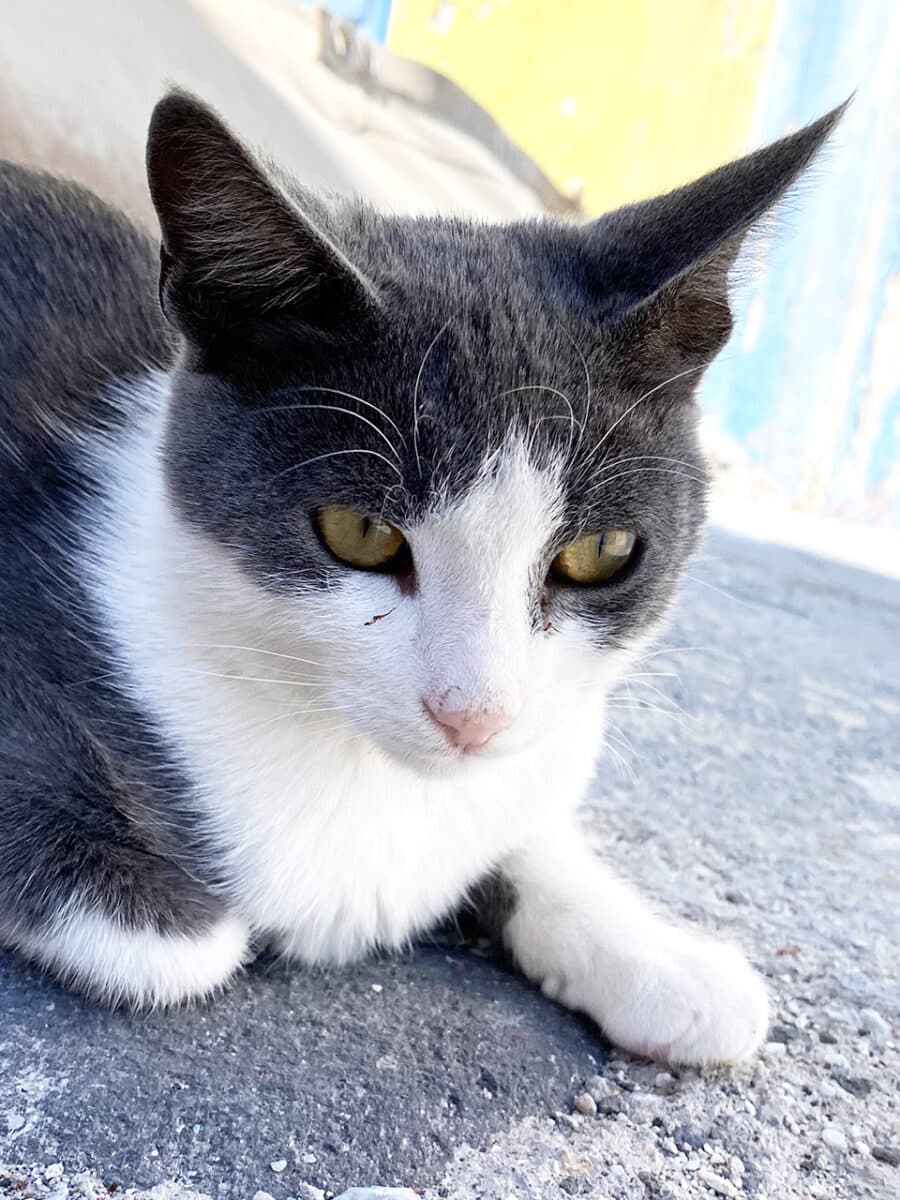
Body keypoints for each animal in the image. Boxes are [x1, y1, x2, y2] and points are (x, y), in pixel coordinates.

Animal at [1, 96, 844, 1070]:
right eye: (361, 533)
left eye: (600, 552)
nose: (473, 716)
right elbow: (183, 949)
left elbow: (522, 825)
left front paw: (663, 959)